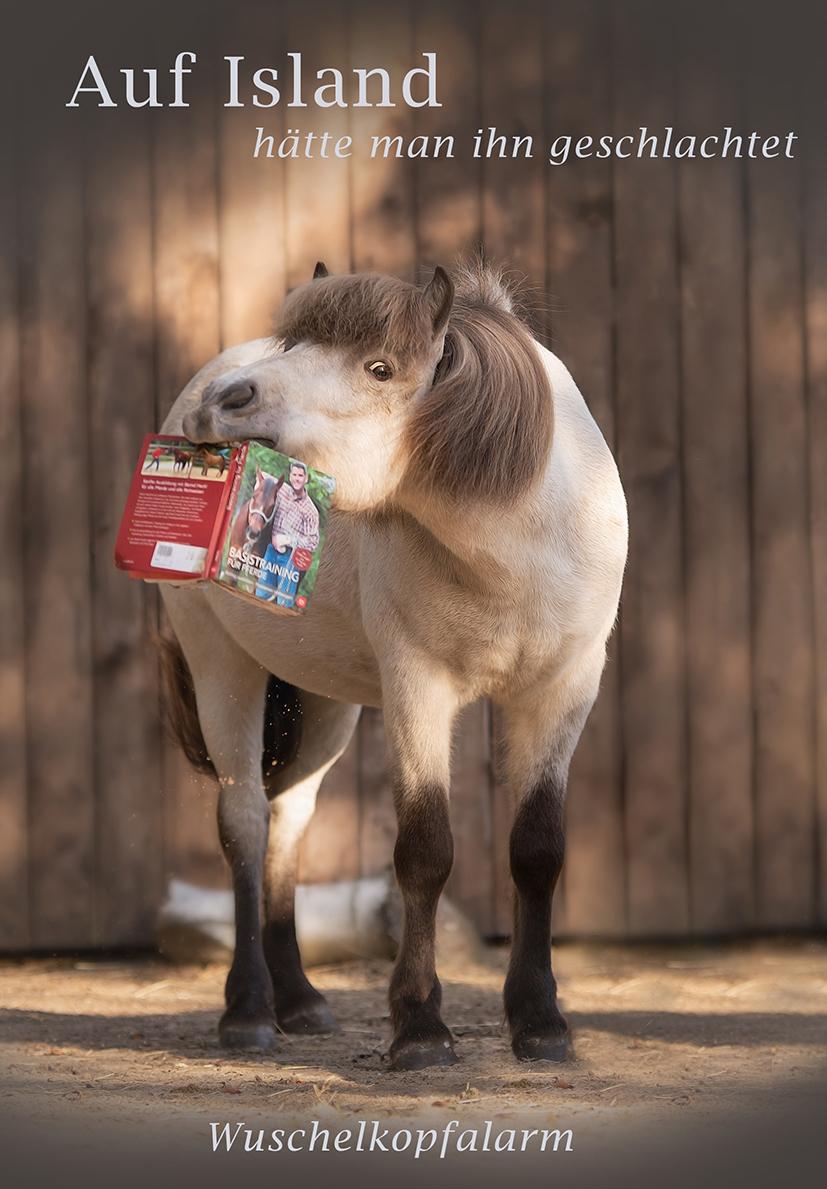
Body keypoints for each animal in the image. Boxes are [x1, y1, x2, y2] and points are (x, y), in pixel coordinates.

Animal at [158, 258, 627, 1070]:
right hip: (225, 672)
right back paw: (248, 1010)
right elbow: (424, 851)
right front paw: (419, 1026)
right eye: (296, 346)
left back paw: (300, 1000)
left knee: (289, 823)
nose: (225, 402)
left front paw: (540, 1021)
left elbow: (537, 849)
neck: (523, 538)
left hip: (324, 707)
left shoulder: (562, 692)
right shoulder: (419, 690)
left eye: (380, 368)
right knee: (246, 823)